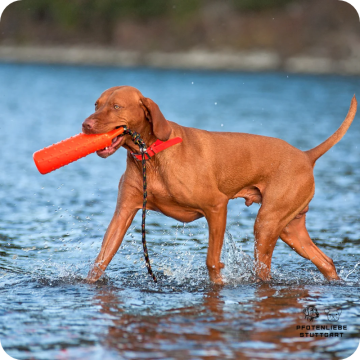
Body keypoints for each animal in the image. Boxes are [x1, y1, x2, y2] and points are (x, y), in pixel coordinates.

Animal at [84, 86, 358, 284]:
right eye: (96, 104)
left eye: (116, 106)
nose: (85, 125)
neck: (151, 156)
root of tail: (306, 155)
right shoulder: (124, 212)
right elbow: (100, 260)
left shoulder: (217, 206)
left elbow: (212, 261)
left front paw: (218, 284)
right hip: (291, 229)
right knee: (326, 261)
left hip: (266, 224)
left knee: (265, 268)